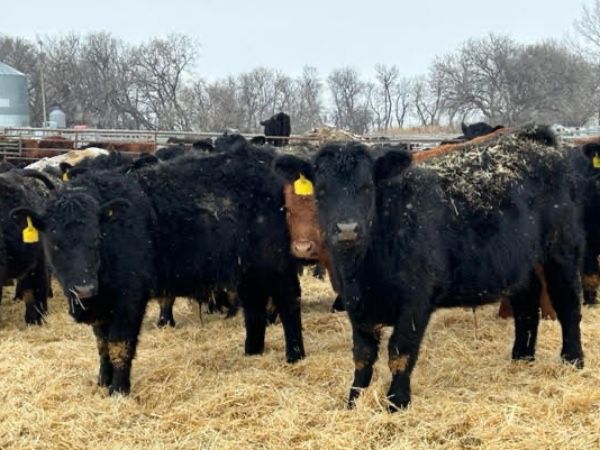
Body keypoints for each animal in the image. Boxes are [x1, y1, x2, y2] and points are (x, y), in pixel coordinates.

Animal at [12, 143, 305, 395]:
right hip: (248, 269)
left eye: (96, 238)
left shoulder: (129, 297)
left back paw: (295, 355)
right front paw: (103, 382)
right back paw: (252, 351)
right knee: (254, 306)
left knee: (288, 300)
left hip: (276, 261)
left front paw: (119, 390)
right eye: (55, 243)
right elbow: (102, 344)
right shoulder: (101, 305)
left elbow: (119, 344)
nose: (84, 288)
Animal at [273, 126, 586, 411]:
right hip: (520, 262)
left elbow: (400, 350)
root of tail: (533, 139)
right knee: (526, 306)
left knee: (568, 304)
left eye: (367, 187)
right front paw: (355, 399)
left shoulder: (416, 298)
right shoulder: (355, 302)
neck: (364, 268)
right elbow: (362, 353)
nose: (347, 229)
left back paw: (573, 360)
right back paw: (522, 357)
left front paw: (396, 402)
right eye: (322, 191)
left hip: (561, 250)